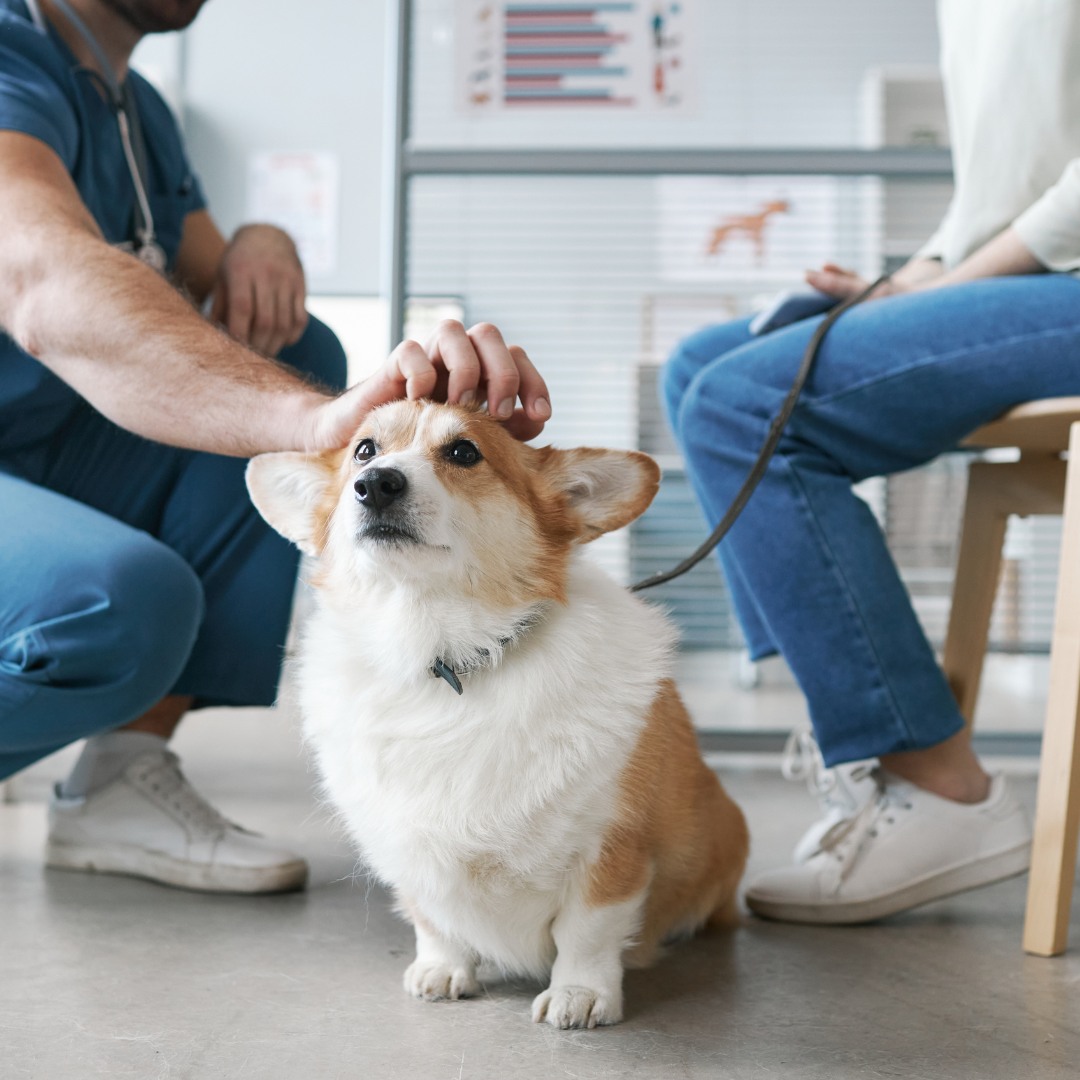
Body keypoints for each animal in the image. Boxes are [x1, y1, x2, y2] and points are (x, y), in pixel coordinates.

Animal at [247, 399, 747, 1028]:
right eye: (364, 450)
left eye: (464, 452)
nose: (375, 484)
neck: (442, 654)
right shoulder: (408, 847)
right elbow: (433, 919)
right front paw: (442, 969)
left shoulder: (611, 847)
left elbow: (588, 931)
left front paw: (579, 994)